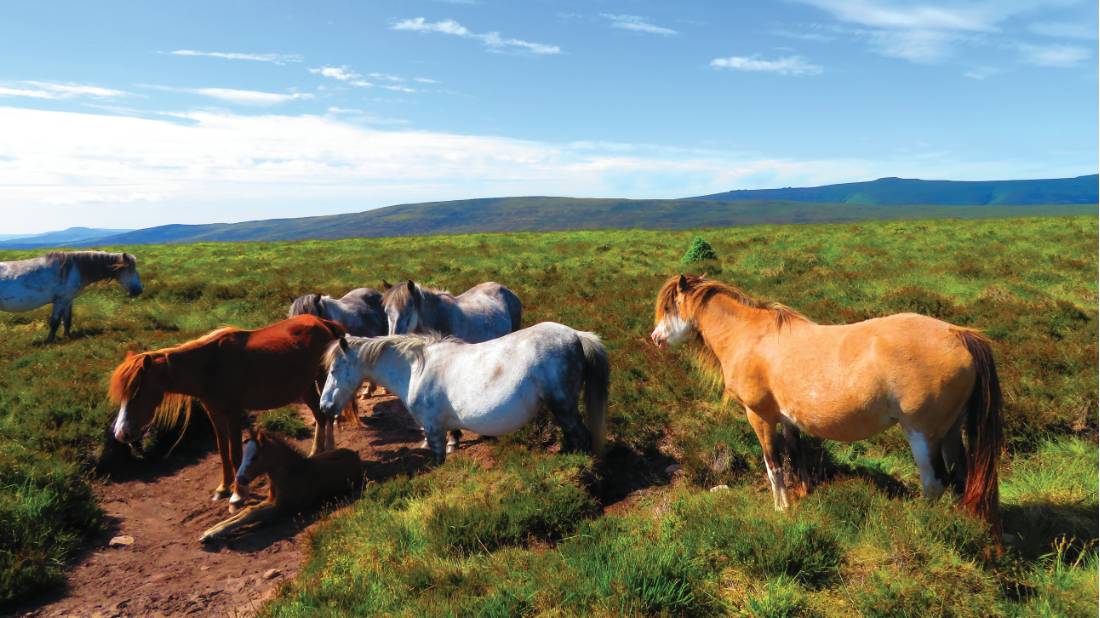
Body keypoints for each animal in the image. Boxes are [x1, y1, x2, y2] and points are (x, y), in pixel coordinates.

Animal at [0, 251, 143, 341]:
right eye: (130, 270)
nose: (139, 291)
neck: (74, 269)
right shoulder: (60, 301)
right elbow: (55, 322)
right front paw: (50, 340)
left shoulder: (68, 300)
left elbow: (67, 320)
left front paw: (67, 337)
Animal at [109, 314, 347, 506]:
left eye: (136, 392)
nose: (121, 433)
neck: (209, 366)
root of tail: (322, 322)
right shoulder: (215, 414)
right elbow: (223, 452)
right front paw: (223, 488)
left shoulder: (233, 413)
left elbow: (235, 454)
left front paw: (238, 494)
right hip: (305, 387)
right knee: (319, 415)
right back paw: (316, 451)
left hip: (323, 378)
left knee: (327, 415)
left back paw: (330, 449)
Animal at [199, 429, 362, 544]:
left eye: (255, 457)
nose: (240, 479)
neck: (289, 475)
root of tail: (356, 454)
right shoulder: (270, 501)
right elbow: (248, 510)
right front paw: (210, 531)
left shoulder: (281, 508)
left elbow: (252, 514)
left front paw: (213, 533)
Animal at [320, 322, 609, 464]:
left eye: (333, 370)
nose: (324, 407)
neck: (416, 369)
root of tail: (576, 335)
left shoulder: (434, 429)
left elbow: (439, 460)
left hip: (564, 407)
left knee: (581, 437)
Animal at [651, 274, 1004, 538]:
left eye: (669, 306)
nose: (655, 338)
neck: (751, 337)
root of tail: (958, 334)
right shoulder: (788, 418)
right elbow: (796, 458)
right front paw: (803, 495)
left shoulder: (760, 417)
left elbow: (773, 464)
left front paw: (781, 508)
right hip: (950, 432)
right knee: (959, 479)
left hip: (921, 434)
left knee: (934, 483)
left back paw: (921, 525)